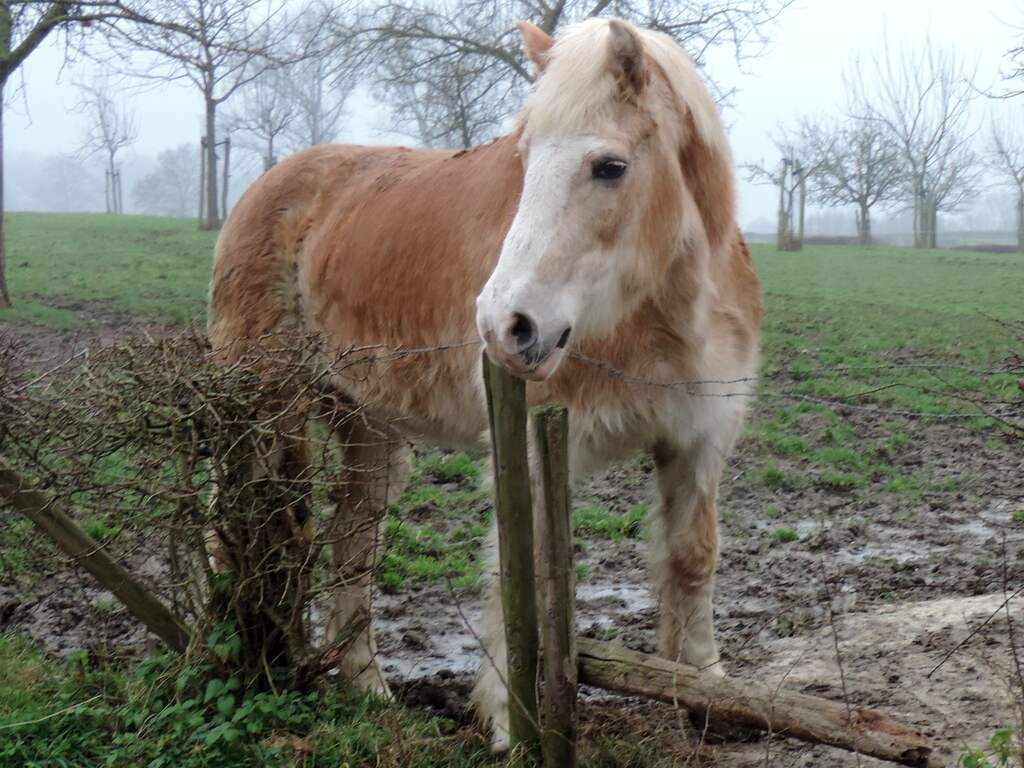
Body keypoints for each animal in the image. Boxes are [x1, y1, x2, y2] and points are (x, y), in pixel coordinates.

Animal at [208, 16, 761, 749]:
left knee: (353, 539)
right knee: (230, 521)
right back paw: (226, 654)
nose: (506, 326)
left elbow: (693, 559)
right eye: (523, 161)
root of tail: (272, 183)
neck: (663, 314)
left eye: (610, 166)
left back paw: (368, 688)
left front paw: (704, 692)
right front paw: (508, 723)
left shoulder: (699, 439)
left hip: (369, 430)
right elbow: (517, 572)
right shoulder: (529, 446)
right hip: (256, 405)